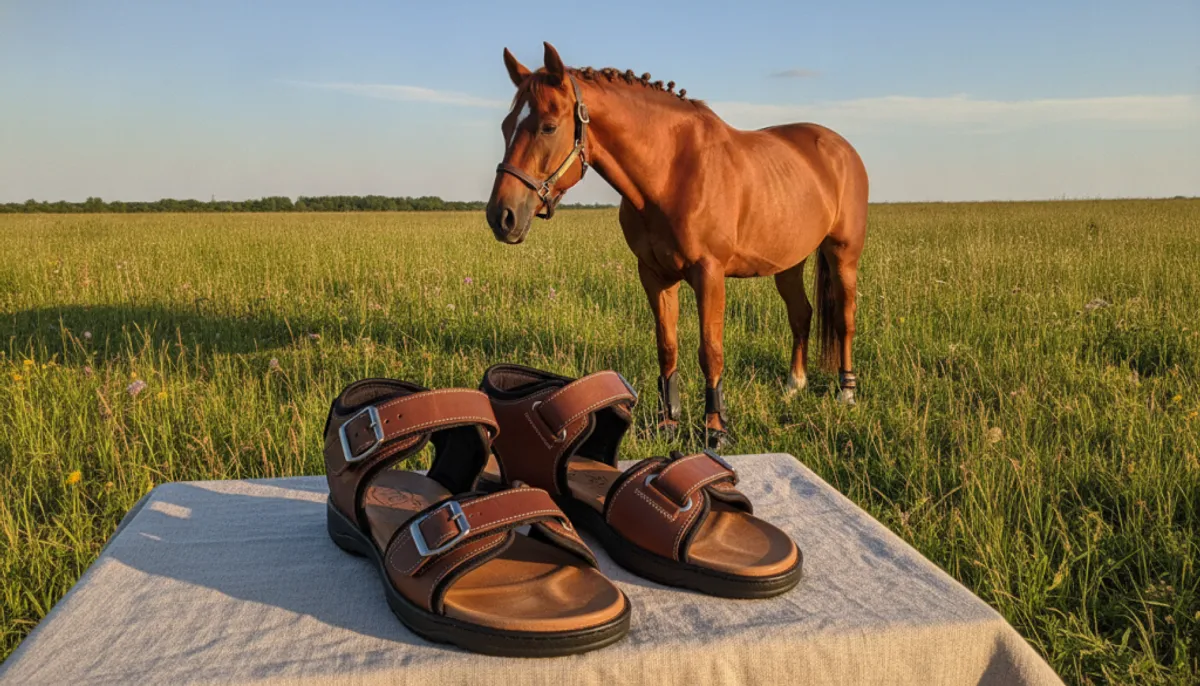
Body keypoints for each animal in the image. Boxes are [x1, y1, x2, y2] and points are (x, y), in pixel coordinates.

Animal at [486, 42, 869, 449]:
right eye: (506, 126)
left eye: (548, 126)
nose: (502, 216)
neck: (672, 170)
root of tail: (840, 148)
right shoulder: (655, 275)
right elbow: (666, 346)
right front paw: (668, 423)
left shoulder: (709, 274)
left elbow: (710, 351)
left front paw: (716, 429)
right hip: (789, 263)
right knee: (801, 314)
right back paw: (794, 386)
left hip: (843, 255)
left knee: (844, 319)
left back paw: (846, 392)